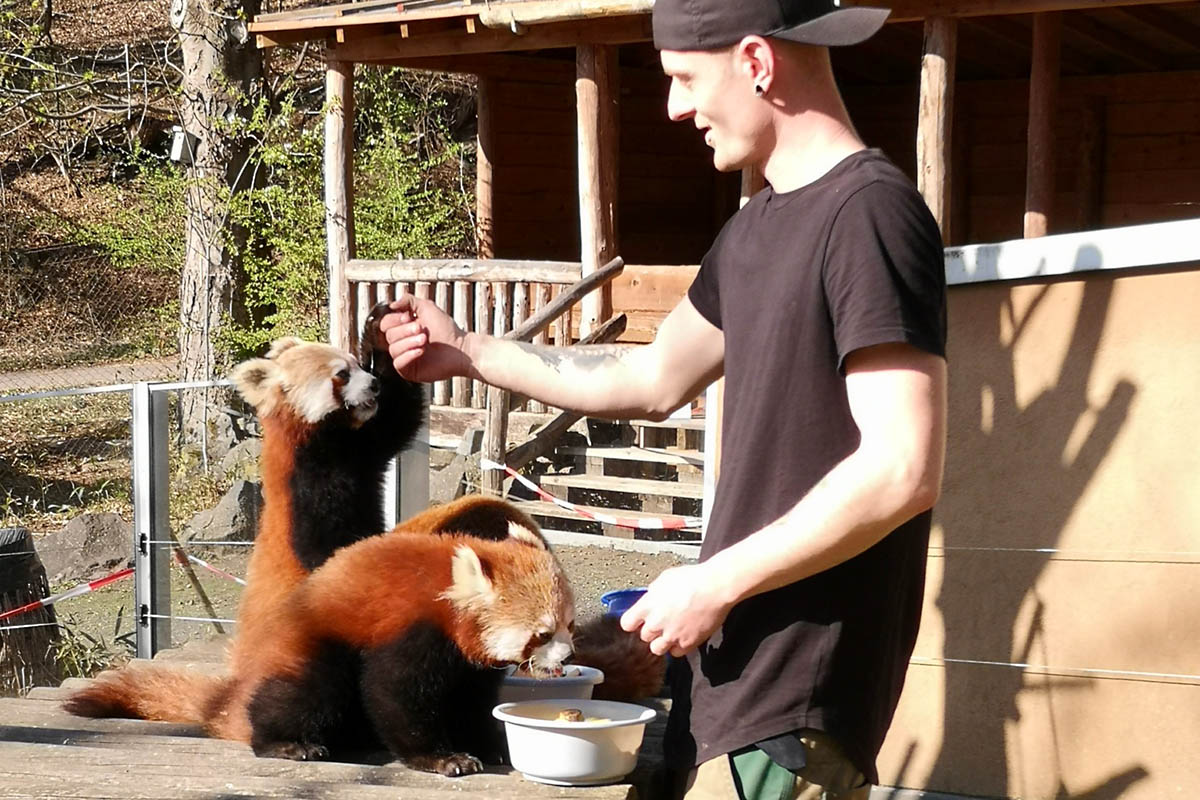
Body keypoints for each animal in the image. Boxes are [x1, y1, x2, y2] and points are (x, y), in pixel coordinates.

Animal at [66, 510, 576, 777]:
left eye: (570, 624)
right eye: (542, 633)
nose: (568, 655)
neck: (448, 601)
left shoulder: (467, 664)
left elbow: (470, 700)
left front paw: (491, 742)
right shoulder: (410, 629)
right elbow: (394, 694)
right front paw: (441, 756)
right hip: (311, 648)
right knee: (309, 690)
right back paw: (286, 743)